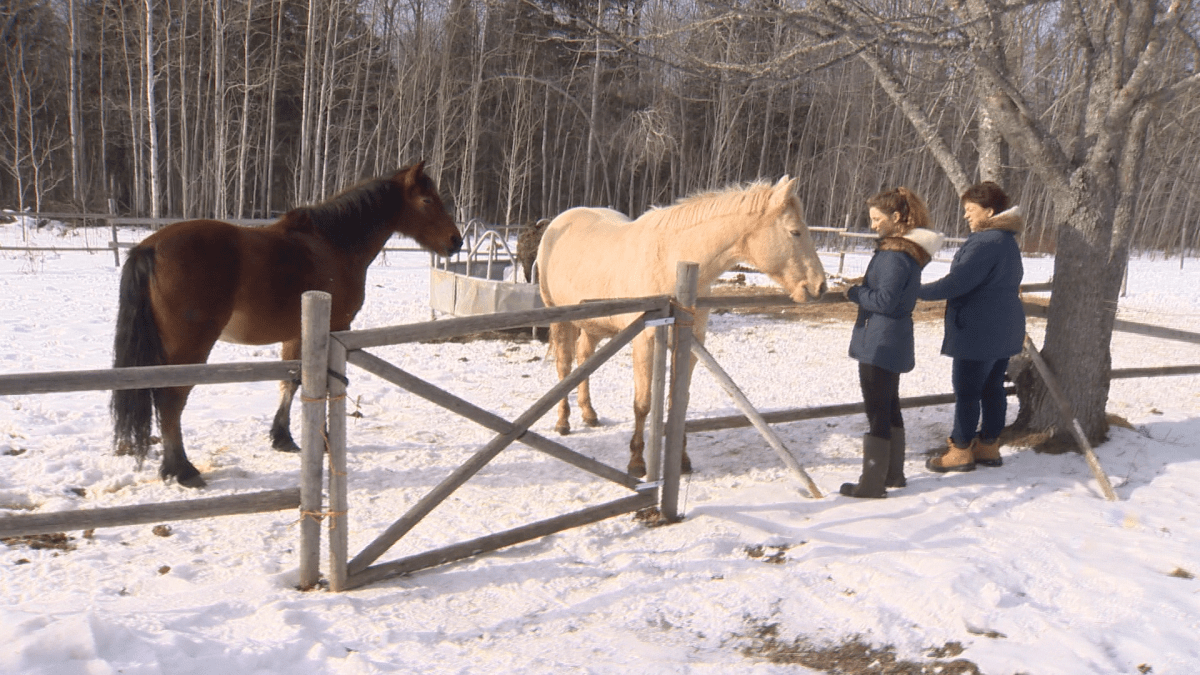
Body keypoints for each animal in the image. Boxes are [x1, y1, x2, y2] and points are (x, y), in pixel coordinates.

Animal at [110, 162, 463, 488]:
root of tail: (149, 247)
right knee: (171, 400)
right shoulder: (336, 328)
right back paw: (182, 469)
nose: (456, 241)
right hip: (189, 348)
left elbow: (291, 382)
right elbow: (324, 385)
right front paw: (322, 439)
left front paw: (283, 437)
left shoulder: (297, 334)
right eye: (427, 200)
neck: (334, 244)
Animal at [537, 176, 827, 477]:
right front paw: (637, 462)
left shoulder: (690, 344)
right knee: (564, 365)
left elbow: (680, 402)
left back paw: (589, 414)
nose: (820, 286)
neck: (672, 263)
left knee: (584, 358)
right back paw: (563, 422)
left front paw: (682, 460)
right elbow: (642, 403)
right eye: (795, 232)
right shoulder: (645, 341)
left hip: (594, 324)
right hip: (560, 317)